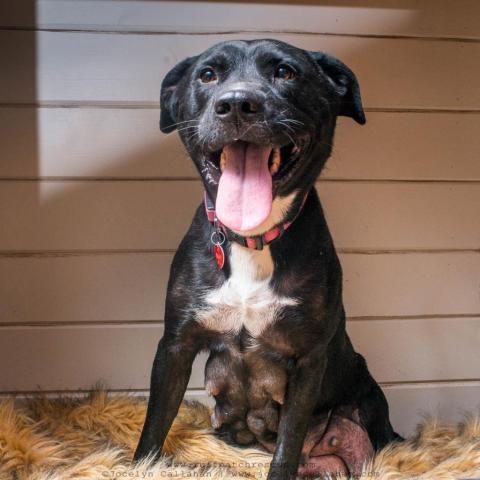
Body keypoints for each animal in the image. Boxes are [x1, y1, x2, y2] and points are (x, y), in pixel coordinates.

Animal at [133, 39, 400, 478]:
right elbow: (156, 419)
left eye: (285, 72)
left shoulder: (309, 359)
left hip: (373, 407)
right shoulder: (175, 344)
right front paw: (142, 466)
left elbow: (288, 441)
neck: (252, 239)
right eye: (208, 74)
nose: (237, 104)